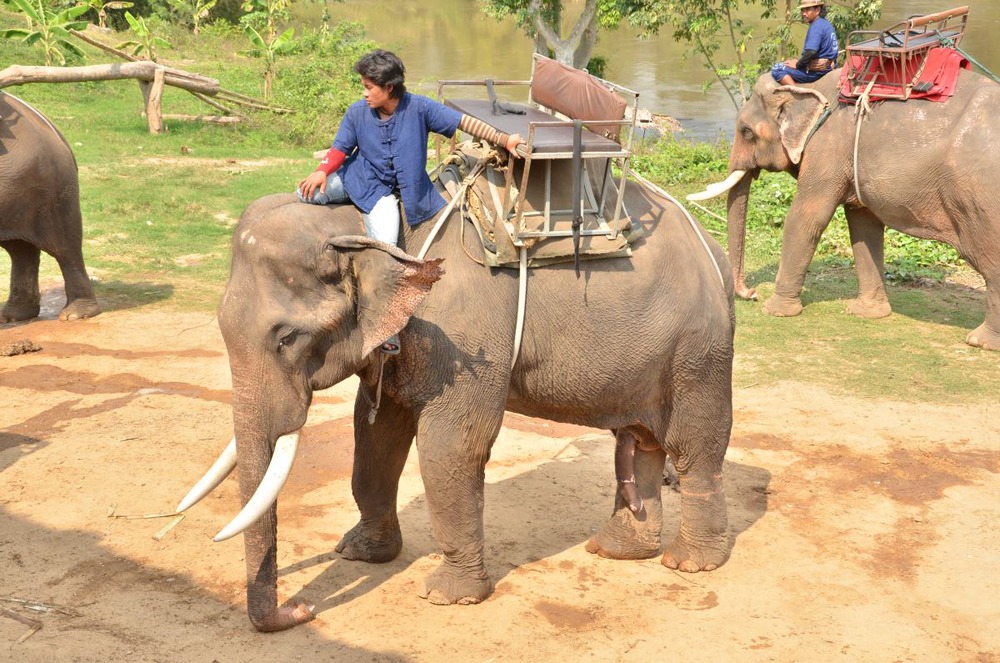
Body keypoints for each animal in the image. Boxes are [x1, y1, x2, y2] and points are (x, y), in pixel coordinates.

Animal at [178, 152, 736, 632]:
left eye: (286, 338)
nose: (301, 611)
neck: (366, 229)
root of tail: (714, 251)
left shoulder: (463, 338)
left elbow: (452, 446)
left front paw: (446, 596)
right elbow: (375, 433)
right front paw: (360, 553)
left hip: (699, 351)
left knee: (694, 445)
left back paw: (690, 563)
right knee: (641, 439)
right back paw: (617, 550)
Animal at [692, 69, 1000, 350]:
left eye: (746, 131)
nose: (750, 293)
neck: (809, 88)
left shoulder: (827, 149)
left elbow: (806, 218)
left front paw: (775, 311)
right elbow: (864, 226)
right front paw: (866, 313)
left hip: (981, 202)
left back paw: (980, 342)